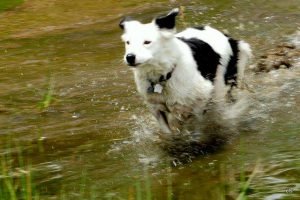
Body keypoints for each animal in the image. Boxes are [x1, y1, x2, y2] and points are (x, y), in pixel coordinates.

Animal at [119, 8, 251, 134]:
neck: (164, 74)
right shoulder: (156, 108)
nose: (130, 57)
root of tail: (229, 38)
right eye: (128, 43)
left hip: (219, 89)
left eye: (147, 42)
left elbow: (198, 129)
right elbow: (168, 132)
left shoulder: (200, 102)